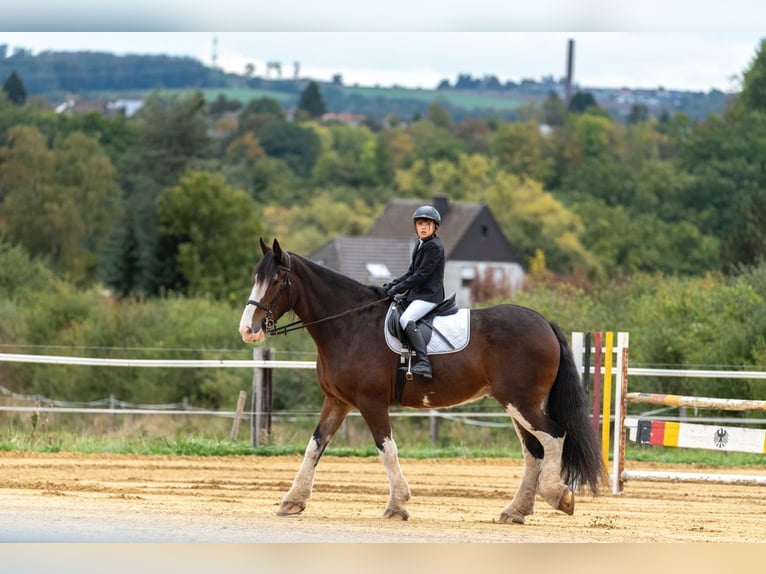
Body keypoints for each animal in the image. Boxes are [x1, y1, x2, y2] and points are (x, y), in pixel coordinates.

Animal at [238, 238, 608, 528]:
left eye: (275, 280)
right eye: (255, 278)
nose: (248, 330)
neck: (350, 324)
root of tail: (543, 321)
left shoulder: (371, 402)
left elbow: (386, 448)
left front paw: (397, 504)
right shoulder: (337, 401)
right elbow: (315, 446)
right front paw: (292, 501)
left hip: (522, 402)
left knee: (554, 436)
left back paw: (558, 496)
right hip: (516, 404)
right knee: (534, 449)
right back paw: (515, 511)